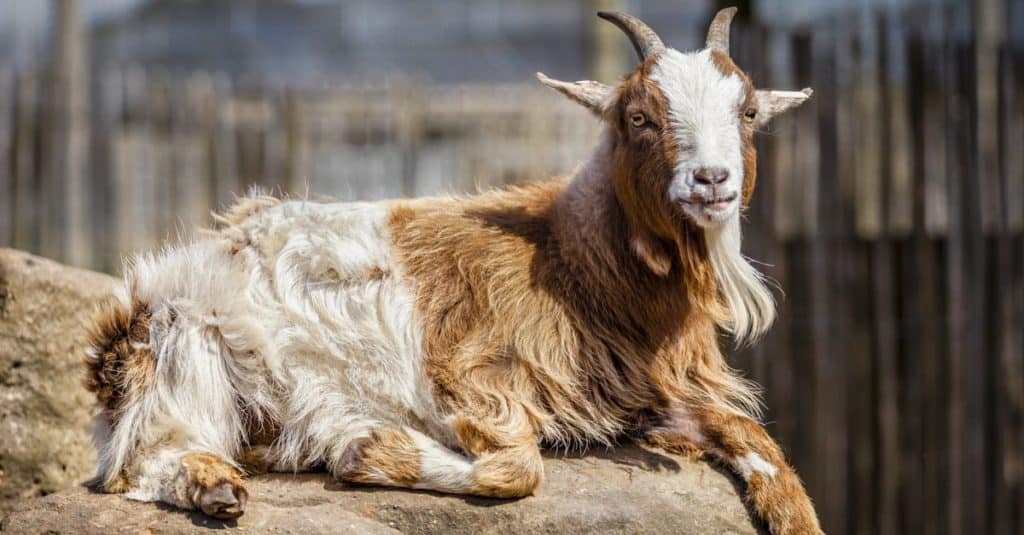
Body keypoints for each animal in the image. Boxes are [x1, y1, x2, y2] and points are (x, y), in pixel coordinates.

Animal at [86, 8, 823, 532]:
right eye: (638, 116)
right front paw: (367, 448)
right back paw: (218, 485)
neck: (568, 252)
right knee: (139, 463)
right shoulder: (464, 374)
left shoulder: (653, 393)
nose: (713, 180)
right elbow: (518, 468)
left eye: (748, 112)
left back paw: (233, 476)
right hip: (191, 353)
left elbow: (763, 447)